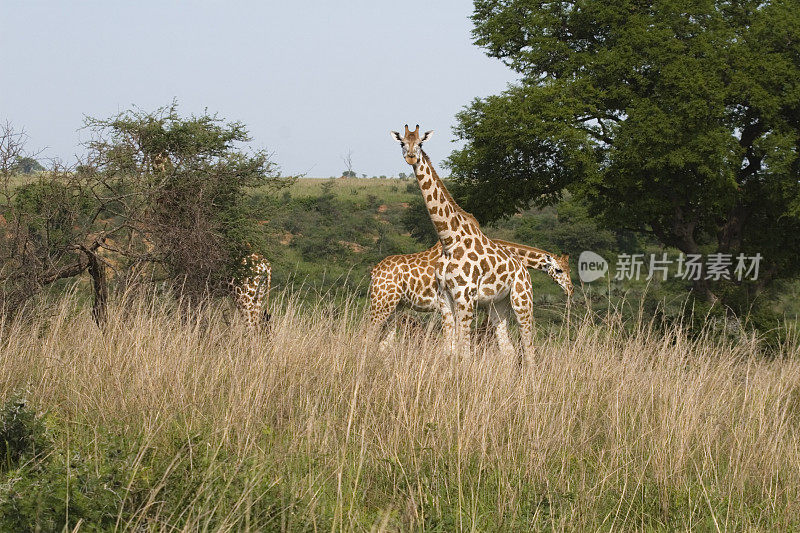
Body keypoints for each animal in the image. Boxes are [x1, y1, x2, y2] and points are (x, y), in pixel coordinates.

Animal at [372, 240, 572, 350]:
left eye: (569, 269)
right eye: (559, 270)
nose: (570, 289)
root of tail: (374, 271)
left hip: (396, 307)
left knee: (383, 344)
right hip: (381, 302)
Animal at [392, 124, 536, 362]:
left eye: (420, 143)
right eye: (402, 142)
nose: (411, 157)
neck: (448, 239)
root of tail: (523, 268)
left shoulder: (465, 295)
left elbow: (464, 350)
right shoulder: (445, 297)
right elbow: (449, 348)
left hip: (522, 298)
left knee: (529, 347)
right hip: (497, 305)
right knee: (508, 350)